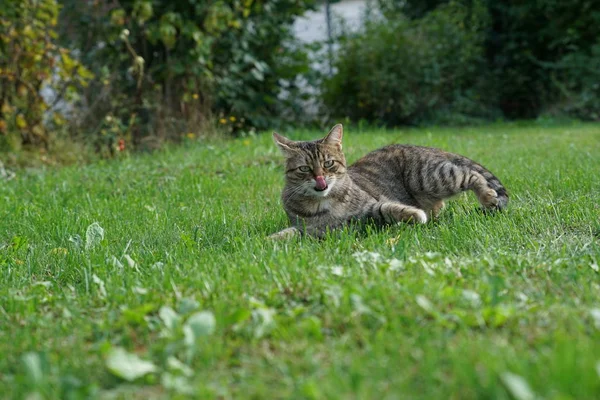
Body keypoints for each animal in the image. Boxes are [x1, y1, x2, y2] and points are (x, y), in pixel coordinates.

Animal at [270, 123, 508, 239]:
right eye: (305, 169)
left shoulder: (369, 210)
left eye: (328, 163)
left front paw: (414, 214)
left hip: (430, 178)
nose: (320, 180)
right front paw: (271, 240)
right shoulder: (311, 229)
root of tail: (423, 147)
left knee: (472, 175)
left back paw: (487, 197)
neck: (323, 203)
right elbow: (292, 232)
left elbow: (387, 208)